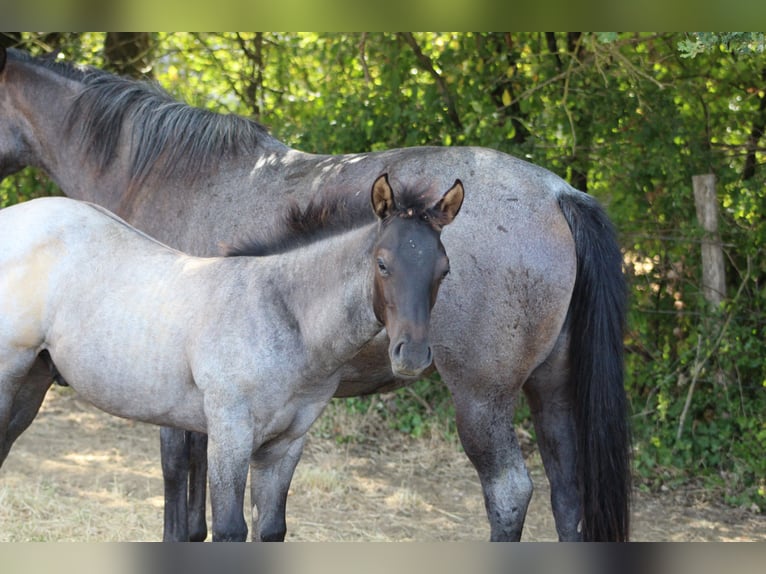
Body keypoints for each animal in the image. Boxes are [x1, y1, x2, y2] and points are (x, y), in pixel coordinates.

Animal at [0, 175, 464, 541]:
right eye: (382, 264)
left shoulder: (286, 445)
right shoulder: (229, 432)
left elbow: (270, 528)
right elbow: (228, 528)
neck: (280, 313)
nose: (412, 354)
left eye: (443, 270)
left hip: (34, 382)